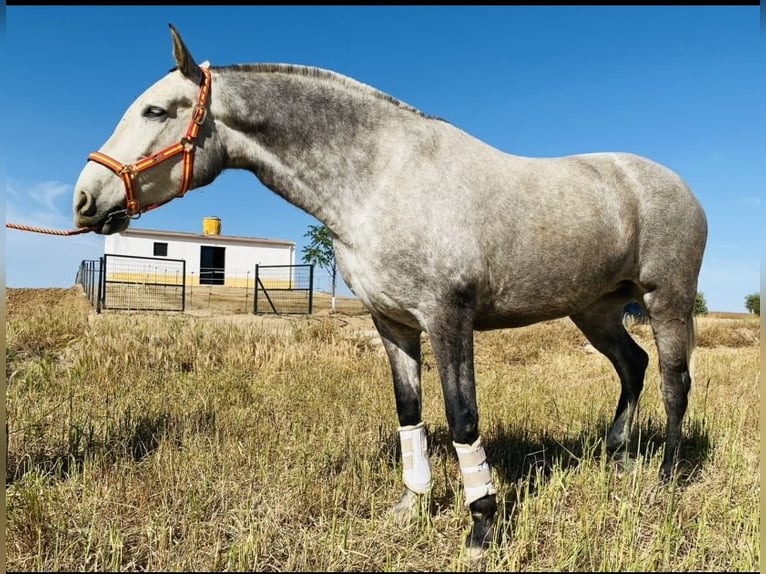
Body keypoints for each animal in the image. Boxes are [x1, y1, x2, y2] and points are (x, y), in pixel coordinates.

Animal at [72, 24, 708, 560]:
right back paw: (619, 457)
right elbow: (411, 411)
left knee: (673, 382)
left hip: (666, 300)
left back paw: (666, 478)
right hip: (594, 311)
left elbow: (462, 417)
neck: (379, 179)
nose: (84, 199)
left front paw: (481, 526)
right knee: (632, 365)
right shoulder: (393, 323)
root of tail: (679, 186)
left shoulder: (447, 317)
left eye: (156, 109)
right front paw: (411, 507)